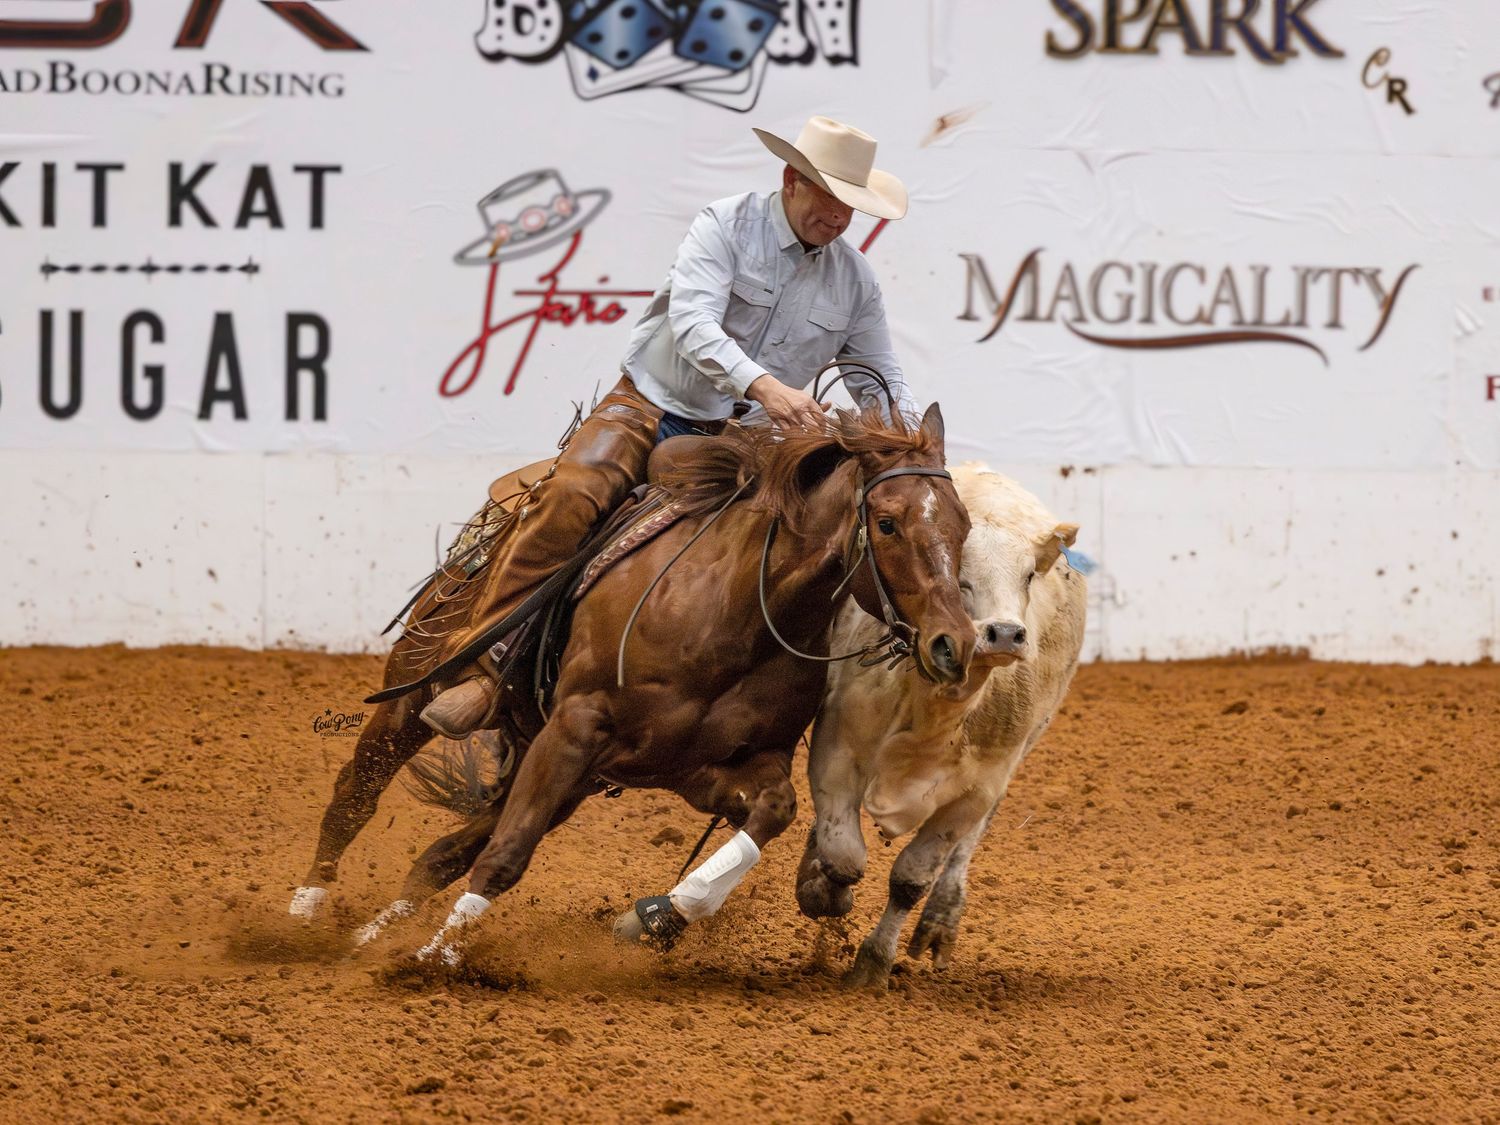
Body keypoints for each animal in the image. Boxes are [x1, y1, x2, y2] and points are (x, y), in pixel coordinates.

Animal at [293, 403, 975, 962]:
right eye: (887, 523)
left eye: (963, 525)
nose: (956, 643)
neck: (735, 612)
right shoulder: (575, 727)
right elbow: (507, 854)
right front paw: (429, 961)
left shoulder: (703, 767)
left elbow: (773, 810)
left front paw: (657, 917)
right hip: (416, 688)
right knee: (357, 793)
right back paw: (306, 914)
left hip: (567, 775)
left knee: (442, 853)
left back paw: (369, 937)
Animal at [795, 463, 1088, 988]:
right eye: (959, 576)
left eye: (1028, 575)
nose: (1005, 634)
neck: (934, 711)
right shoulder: (836, 750)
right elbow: (844, 855)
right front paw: (822, 889)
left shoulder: (974, 791)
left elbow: (911, 879)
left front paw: (874, 961)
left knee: (966, 846)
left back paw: (941, 918)